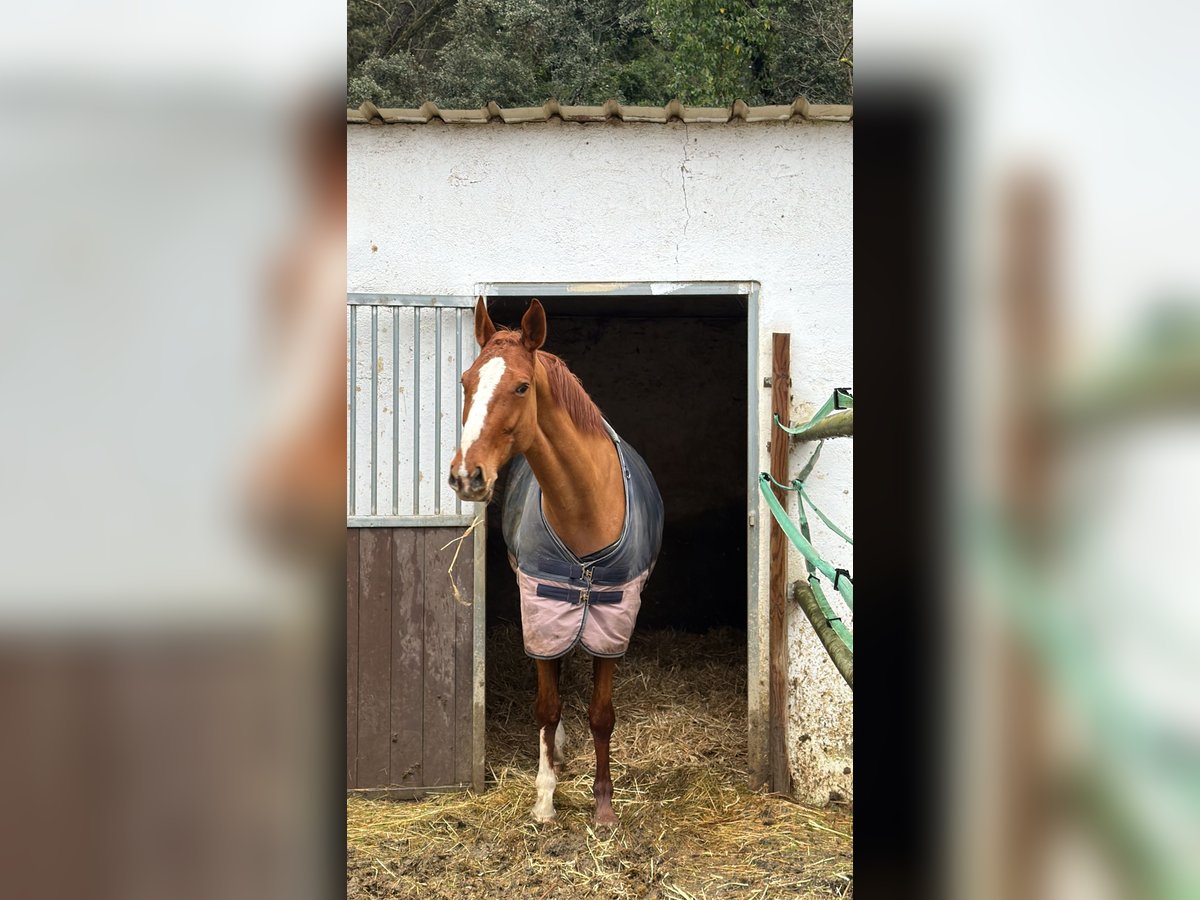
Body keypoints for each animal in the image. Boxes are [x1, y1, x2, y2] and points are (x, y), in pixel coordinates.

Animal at [448, 297, 663, 827]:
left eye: (521, 386)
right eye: (465, 381)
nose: (466, 476)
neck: (585, 507)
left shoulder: (615, 616)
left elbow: (602, 714)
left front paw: (604, 806)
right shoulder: (541, 606)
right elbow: (546, 705)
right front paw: (545, 796)